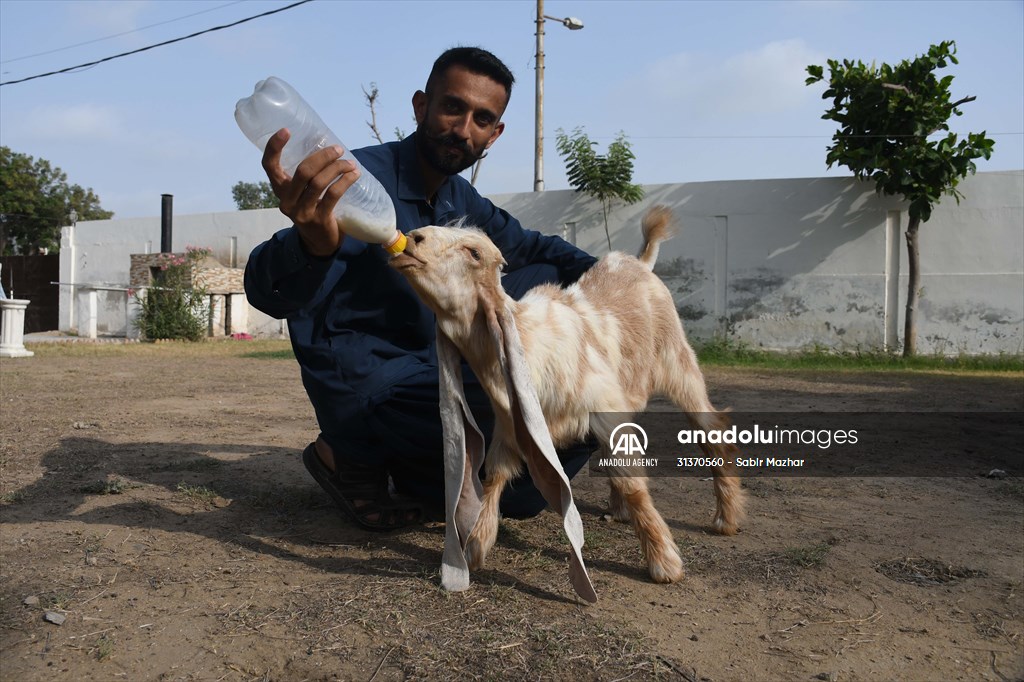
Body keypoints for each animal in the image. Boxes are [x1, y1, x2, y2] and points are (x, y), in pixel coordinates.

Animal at [391, 204, 745, 598]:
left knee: (711, 428)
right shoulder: (510, 425)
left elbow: (633, 483)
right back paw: (621, 510)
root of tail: (640, 262)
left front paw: (663, 561)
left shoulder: (603, 408)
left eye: (474, 252)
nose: (413, 239)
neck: (528, 339)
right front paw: (477, 544)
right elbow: (496, 475)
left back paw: (726, 516)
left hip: (677, 362)